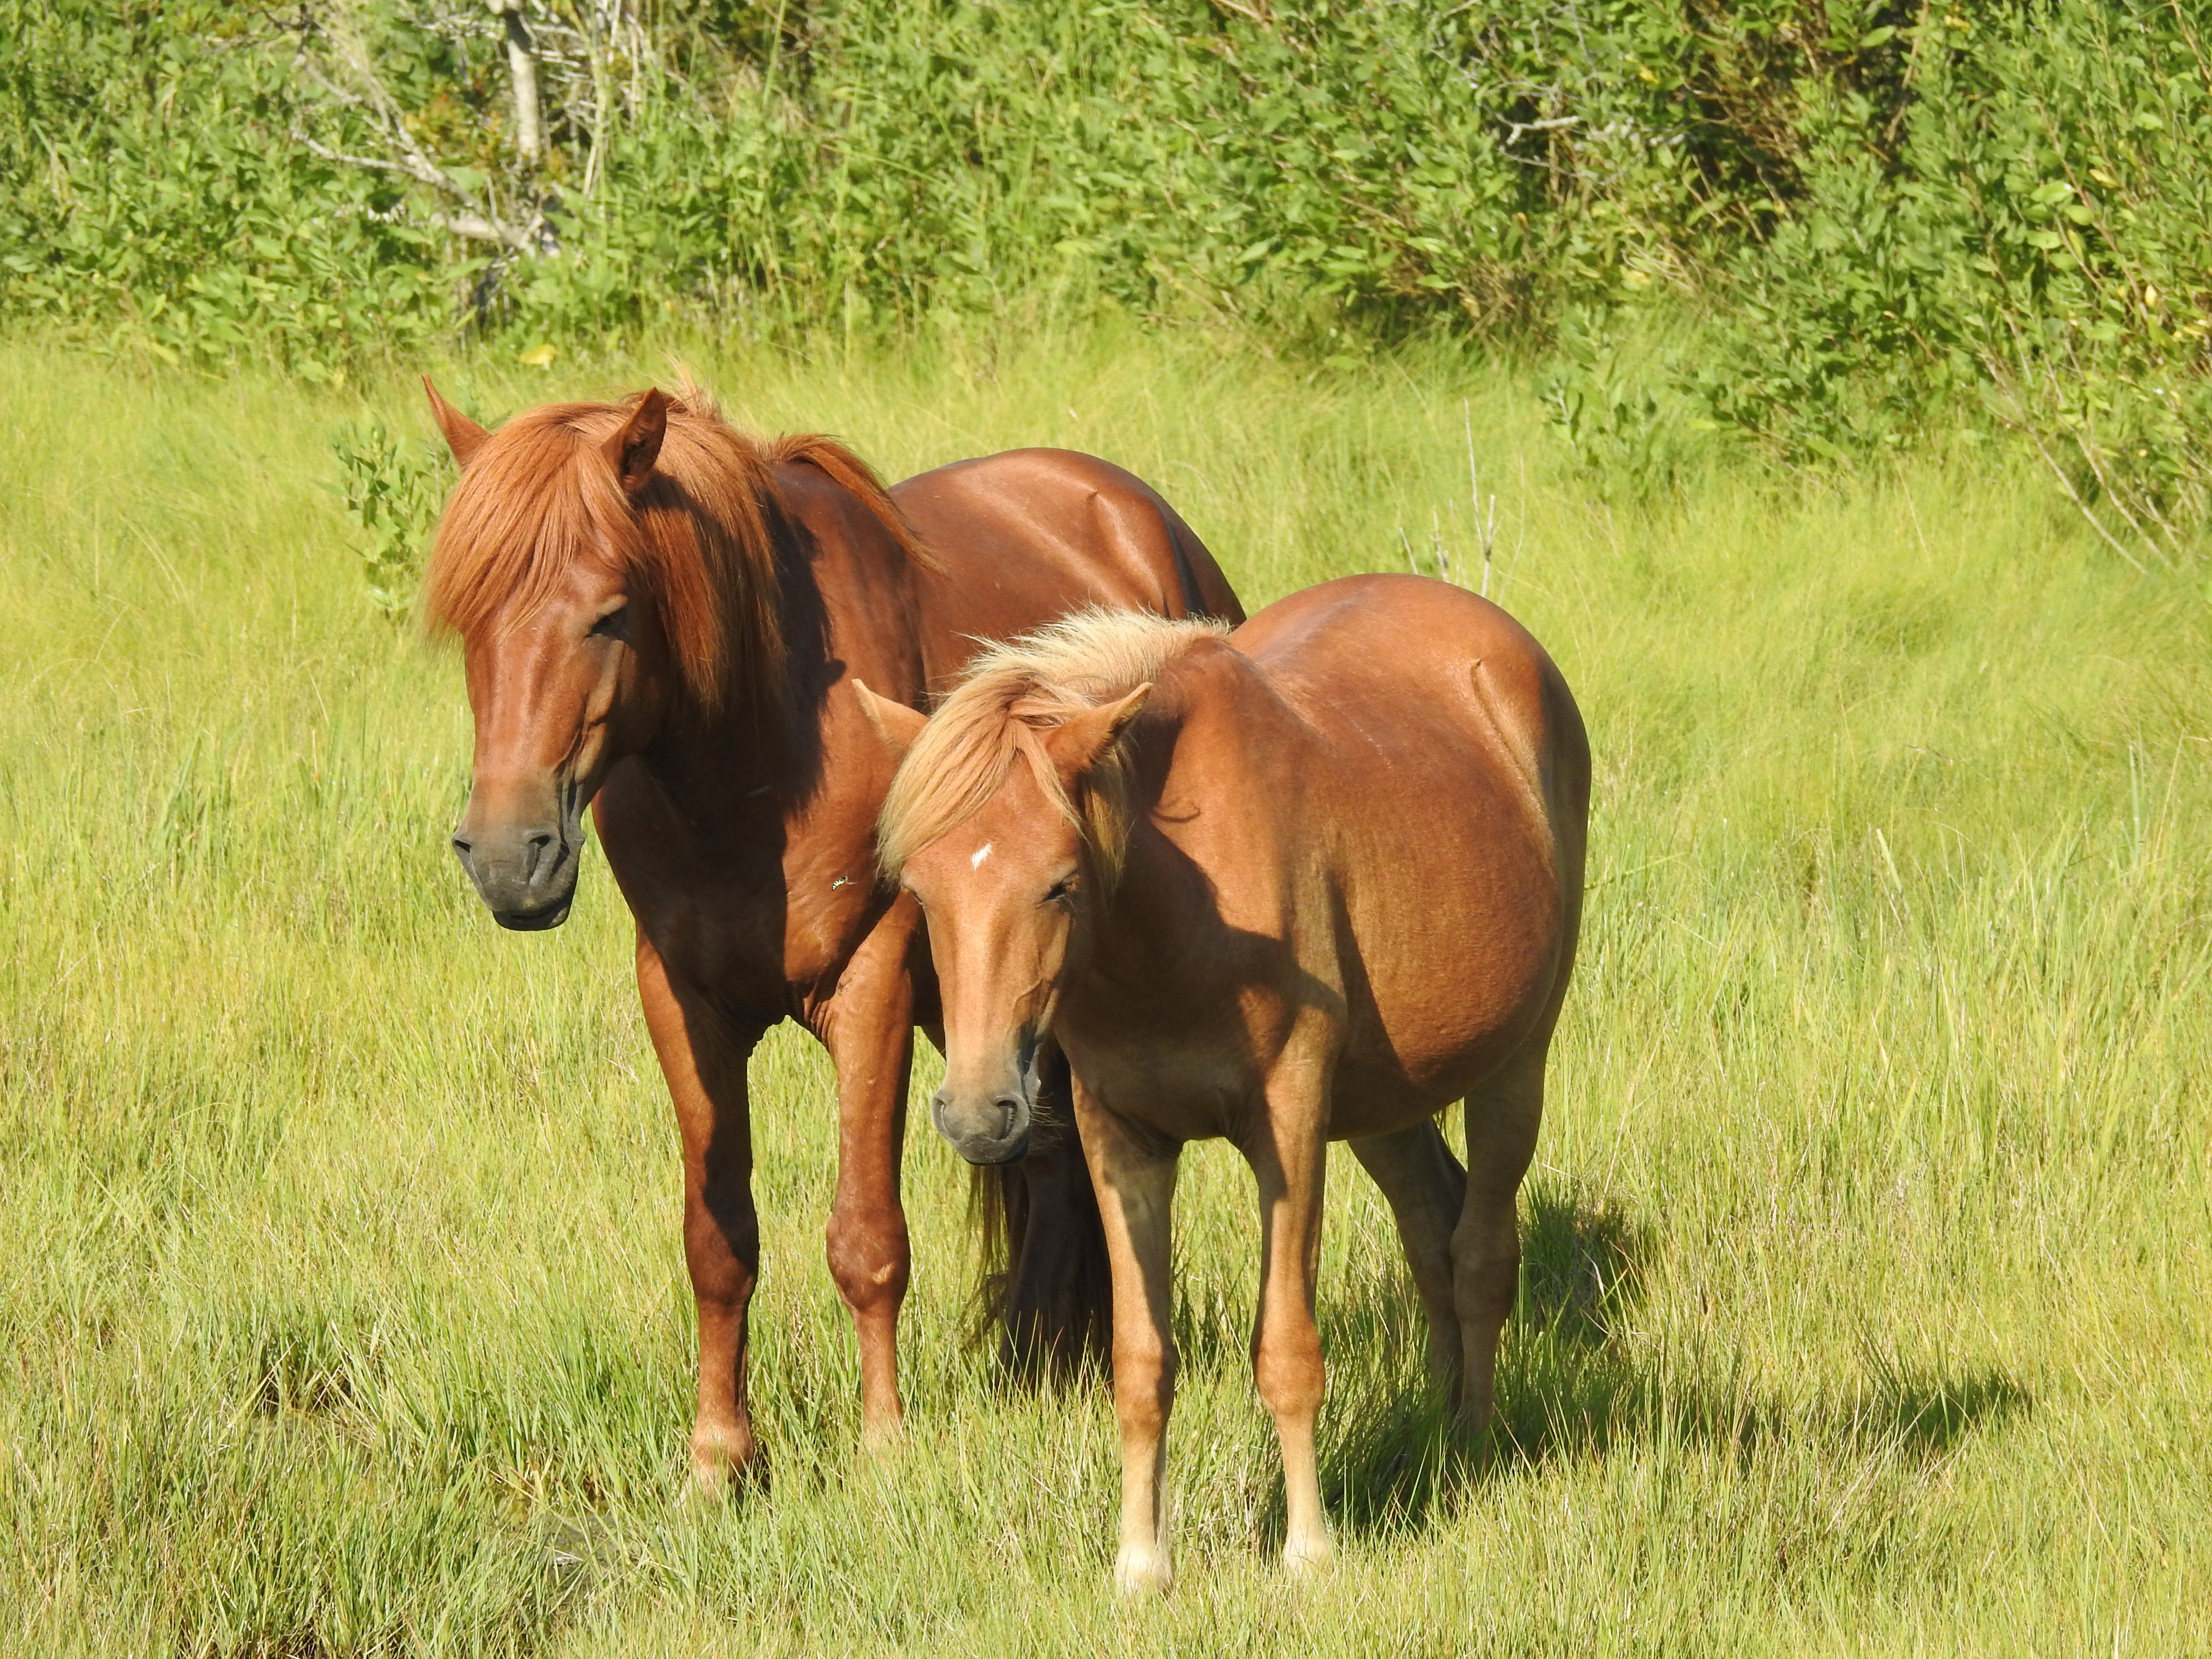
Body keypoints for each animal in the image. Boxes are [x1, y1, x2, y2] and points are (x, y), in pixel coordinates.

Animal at [419, 378, 1244, 1489]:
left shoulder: (874, 982)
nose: (508, 856)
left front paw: (884, 1445)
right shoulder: (683, 999)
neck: (751, 761)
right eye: (471, 620)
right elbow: (717, 1240)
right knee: (1049, 1160)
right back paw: (1035, 1362)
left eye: (611, 615)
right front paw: (719, 1457)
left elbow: (866, 1236)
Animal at [865, 575, 1588, 1590]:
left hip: (1514, 1065)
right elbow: (1140, 1361)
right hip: (1383, 1107)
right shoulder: (1121, 1138)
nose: (977, 1113)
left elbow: (1286, 1351)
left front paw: (1309, 1551)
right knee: (1430, 1241)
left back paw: (1475, 1444)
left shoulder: (1286, 1123)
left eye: (1057, 884)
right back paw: (1441, 1433)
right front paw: (1140, 1564)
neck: (1171, 920)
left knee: (1481, 1253)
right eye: (921, 893)